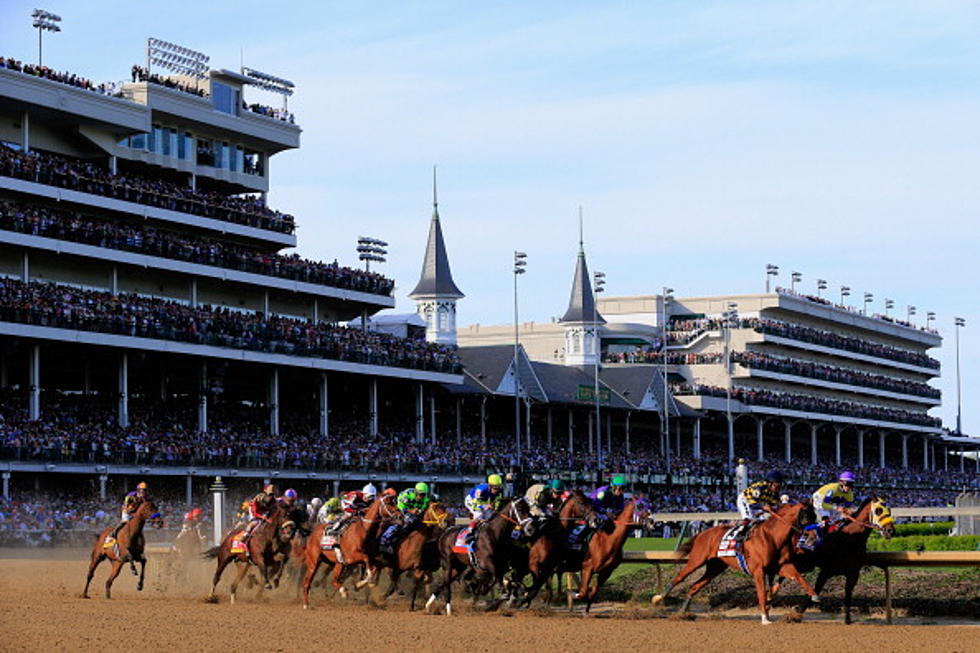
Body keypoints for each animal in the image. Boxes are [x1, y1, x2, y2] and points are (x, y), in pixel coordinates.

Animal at [656, 502, 824, 624]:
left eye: (815, 516)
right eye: (806, 517)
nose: (814, 537)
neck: (773, 537)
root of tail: (702, 533)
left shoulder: (782, 566)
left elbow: (798, 577)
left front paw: (815, 596)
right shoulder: (759, 570)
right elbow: (762, 593)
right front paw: (764, 618)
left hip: (715, 567)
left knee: (694, 586)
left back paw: (683, 613)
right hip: (697, 560)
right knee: (680, 577)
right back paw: (659, 598)